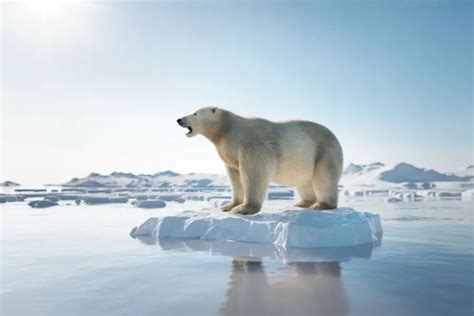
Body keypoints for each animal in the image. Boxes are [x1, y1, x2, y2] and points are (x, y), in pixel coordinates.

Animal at [176, 107, 342, 215]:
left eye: (195, 113)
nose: (179, 119)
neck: (227, 129)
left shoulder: (253, 146)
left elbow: (254, 173)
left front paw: (243, 209)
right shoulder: (229, 152)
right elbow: (235, 177)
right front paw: (229, 205)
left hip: (324, 153)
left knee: (324, 179)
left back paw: (321, 205)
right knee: (304, 182)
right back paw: (303, 203)